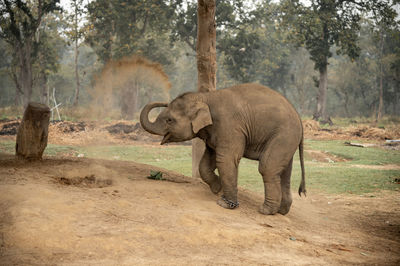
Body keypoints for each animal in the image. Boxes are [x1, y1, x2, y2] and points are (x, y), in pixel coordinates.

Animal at [141, 82, 306, 215]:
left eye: (169, 120)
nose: (163, 101)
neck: (204, 97)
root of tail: (299, 118)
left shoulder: (229, 126)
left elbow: (225, 160)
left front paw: (224, 204)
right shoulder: (214, 132)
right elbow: (207, 161)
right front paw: (217, 188)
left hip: (284, 135)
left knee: (267, 167)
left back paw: (266, 211)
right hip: (286, 140)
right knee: (284, 172)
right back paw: (282, 211)